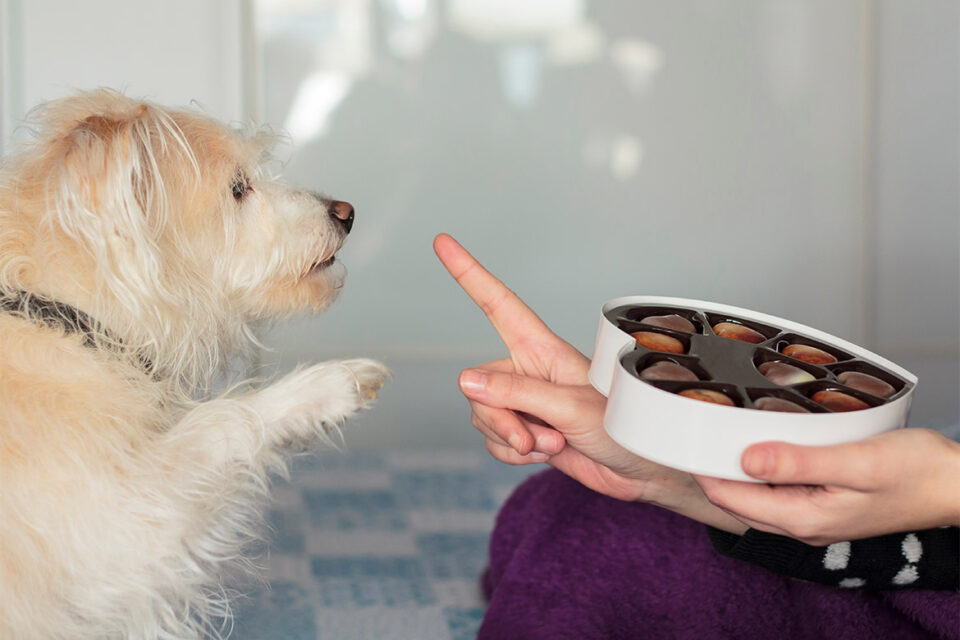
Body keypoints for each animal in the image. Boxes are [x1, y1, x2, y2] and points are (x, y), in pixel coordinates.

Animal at [0, 91, 390, 640]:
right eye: (238, 188)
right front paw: (327, 387)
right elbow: (221, 420)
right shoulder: (119, 525)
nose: (347, 212)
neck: (67, 318)